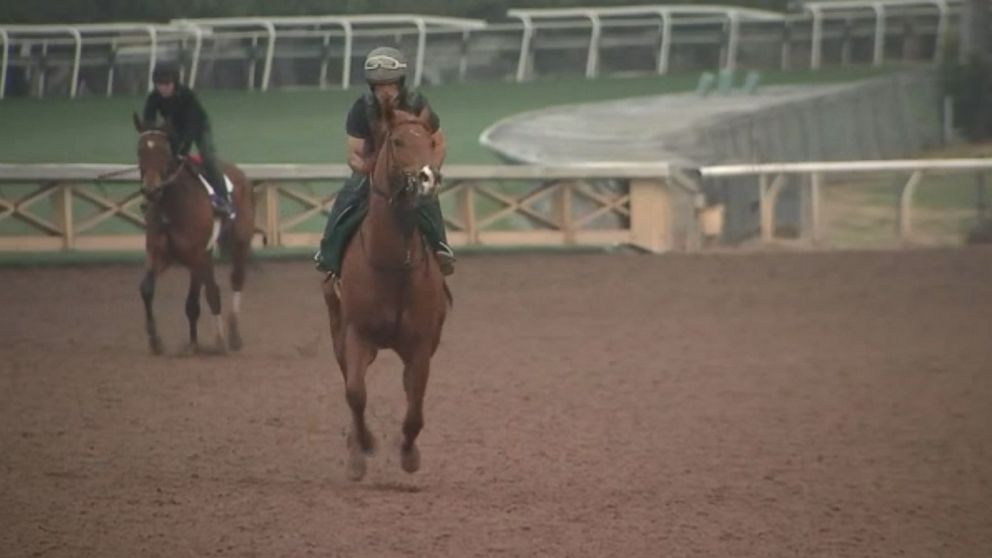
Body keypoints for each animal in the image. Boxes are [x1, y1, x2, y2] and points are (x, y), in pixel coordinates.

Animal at [132, 116, 256, 356]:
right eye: (140, 150)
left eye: (164, 151)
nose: (151, 190)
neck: (173, 206)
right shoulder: (160, 253)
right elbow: (146, 289)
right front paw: (156, 339)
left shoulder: (197, 255)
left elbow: (203, 299)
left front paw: (213, 341)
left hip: (239, 242)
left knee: (236, 280)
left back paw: (233, 335)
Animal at [322, 99, 450, 482]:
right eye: (397, 141)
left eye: (429, 141)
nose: (427, 179)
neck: (394, 264)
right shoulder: (356, 334)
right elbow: (355, 393)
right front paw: (361, 448)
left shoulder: (421, 344)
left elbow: (416, 404)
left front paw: (408, 454)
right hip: (337, 328)